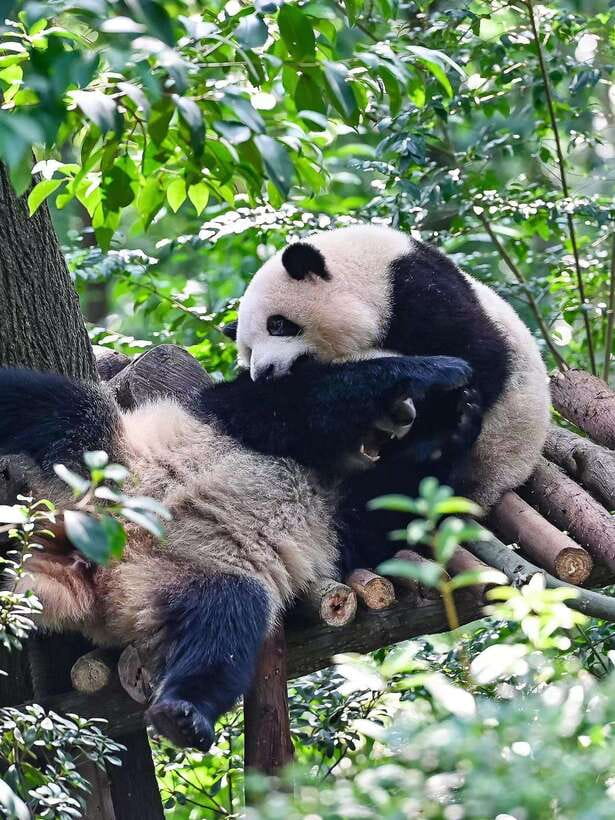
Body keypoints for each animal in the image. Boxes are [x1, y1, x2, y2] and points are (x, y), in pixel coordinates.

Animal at [0, 353, 474, 752]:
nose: (406, 416)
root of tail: (93, 565)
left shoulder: (356, 519)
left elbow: (390, 507)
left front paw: (456, 419)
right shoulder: (244, 416)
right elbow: (306, 404)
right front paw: (444, 376)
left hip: (187, 572)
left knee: (225, 622)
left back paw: (182, 716)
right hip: (101, 462)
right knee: (50, 406)